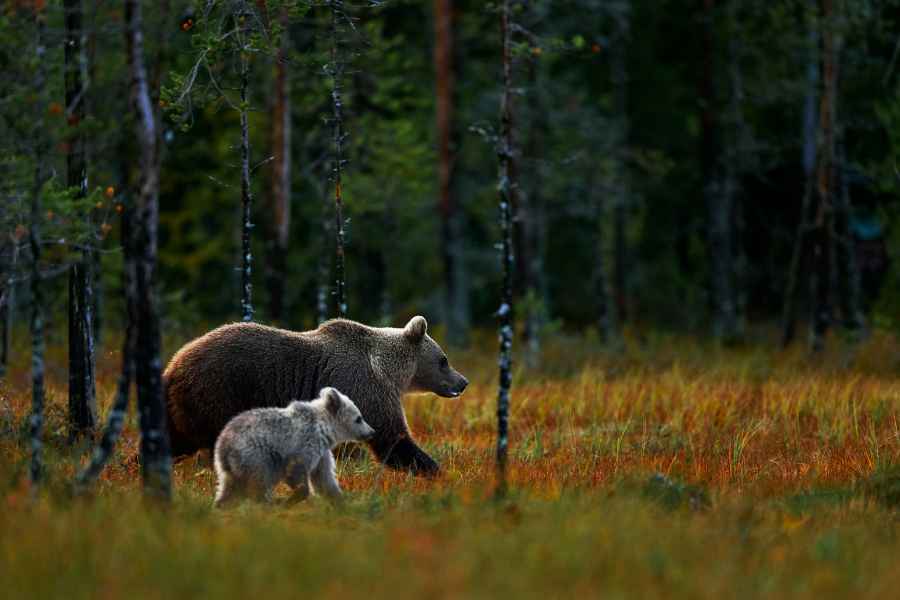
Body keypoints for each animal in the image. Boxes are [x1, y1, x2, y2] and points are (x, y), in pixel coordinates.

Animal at [164, 316, 468, 476]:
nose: (463, 382)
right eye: (443, 360)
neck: (389, 372)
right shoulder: (366, 389)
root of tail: (173, 364)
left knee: (176, 438)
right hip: (219, 391)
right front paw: (436, 470)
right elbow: (391, 438)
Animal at [213, 387, 375, 507]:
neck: (325, 430)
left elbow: (325, 480)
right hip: (256, 456)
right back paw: (267, 503)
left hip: (232, 469)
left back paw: (221, 505)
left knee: (229, 489)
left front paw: (341, 501)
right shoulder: (305, 444)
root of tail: (223, 445)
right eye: (359, 418)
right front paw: (291, 499)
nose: (372, 432)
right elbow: (296, 471)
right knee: (259, 483)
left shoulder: (322, 455)